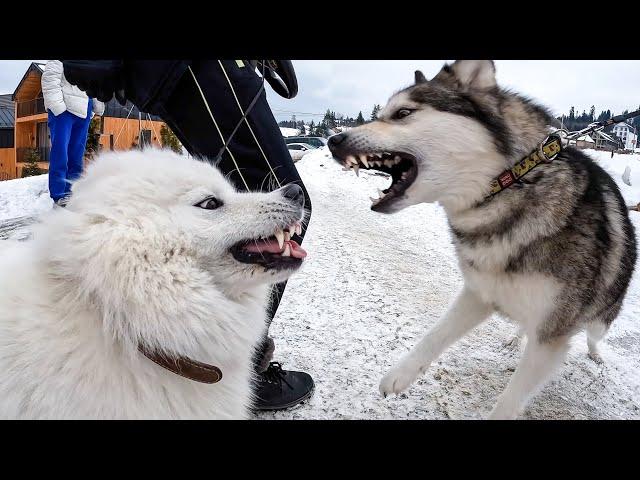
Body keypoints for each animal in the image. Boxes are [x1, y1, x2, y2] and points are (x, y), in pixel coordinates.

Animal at [328, 61, 636, 420]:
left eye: (403, 113)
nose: (334, 139)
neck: (509, 182)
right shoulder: (479, 293)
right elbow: (434, 334)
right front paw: (399, 375)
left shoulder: (551, 336)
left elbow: (510, 400)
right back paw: (516, 338)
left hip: (600, 315)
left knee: (594, 333)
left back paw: (596, 353)